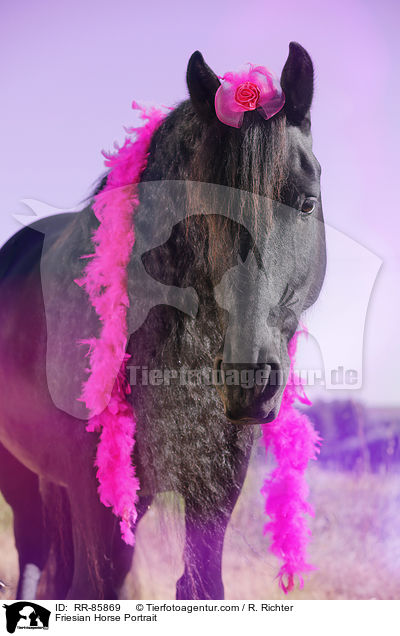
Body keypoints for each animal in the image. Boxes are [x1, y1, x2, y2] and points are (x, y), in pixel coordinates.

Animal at [0, 42, 324, 600]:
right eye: (203, 206)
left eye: (306, 202)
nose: (249, 379)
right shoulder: (97, 498)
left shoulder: (215, 492)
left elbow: (201, 586)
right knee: (34, 553)